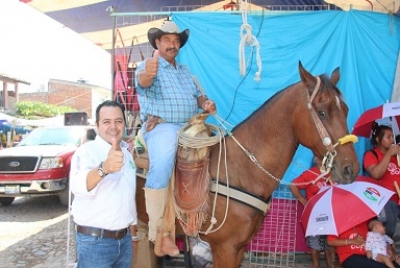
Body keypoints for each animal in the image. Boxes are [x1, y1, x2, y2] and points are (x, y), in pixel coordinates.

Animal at [137, 61, 360, 266]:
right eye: (322, 112)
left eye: (346, 110)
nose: (351, 169)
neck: (242, 169)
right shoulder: (224, 248)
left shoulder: (239, 247)